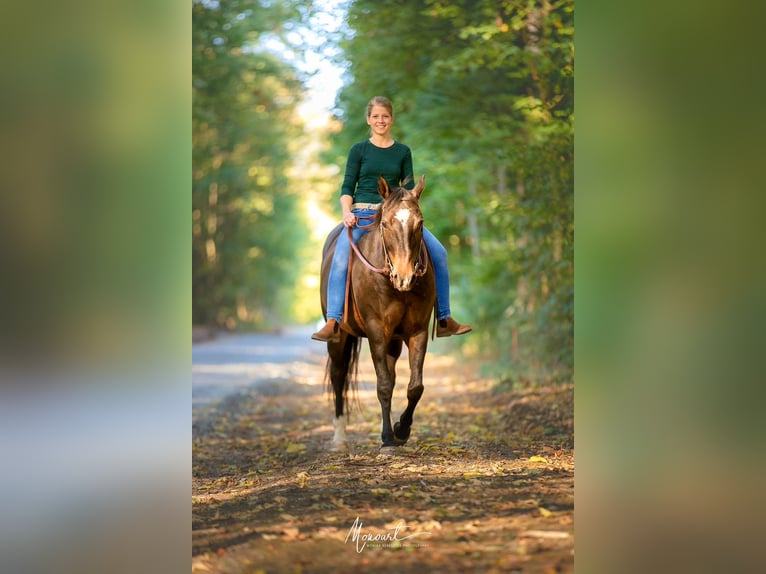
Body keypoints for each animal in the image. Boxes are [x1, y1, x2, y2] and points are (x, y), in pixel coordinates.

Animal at [320, 176, 438, 454]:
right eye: (385, 224)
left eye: (420, 223)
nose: (404, 277)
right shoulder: (376, 332)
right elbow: (383, 386)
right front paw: (387, 439)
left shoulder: (417, 331)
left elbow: (414, 387)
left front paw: (401, 430)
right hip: (338, 338)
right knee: (339, 376)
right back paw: (339, 438)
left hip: (393, 342)